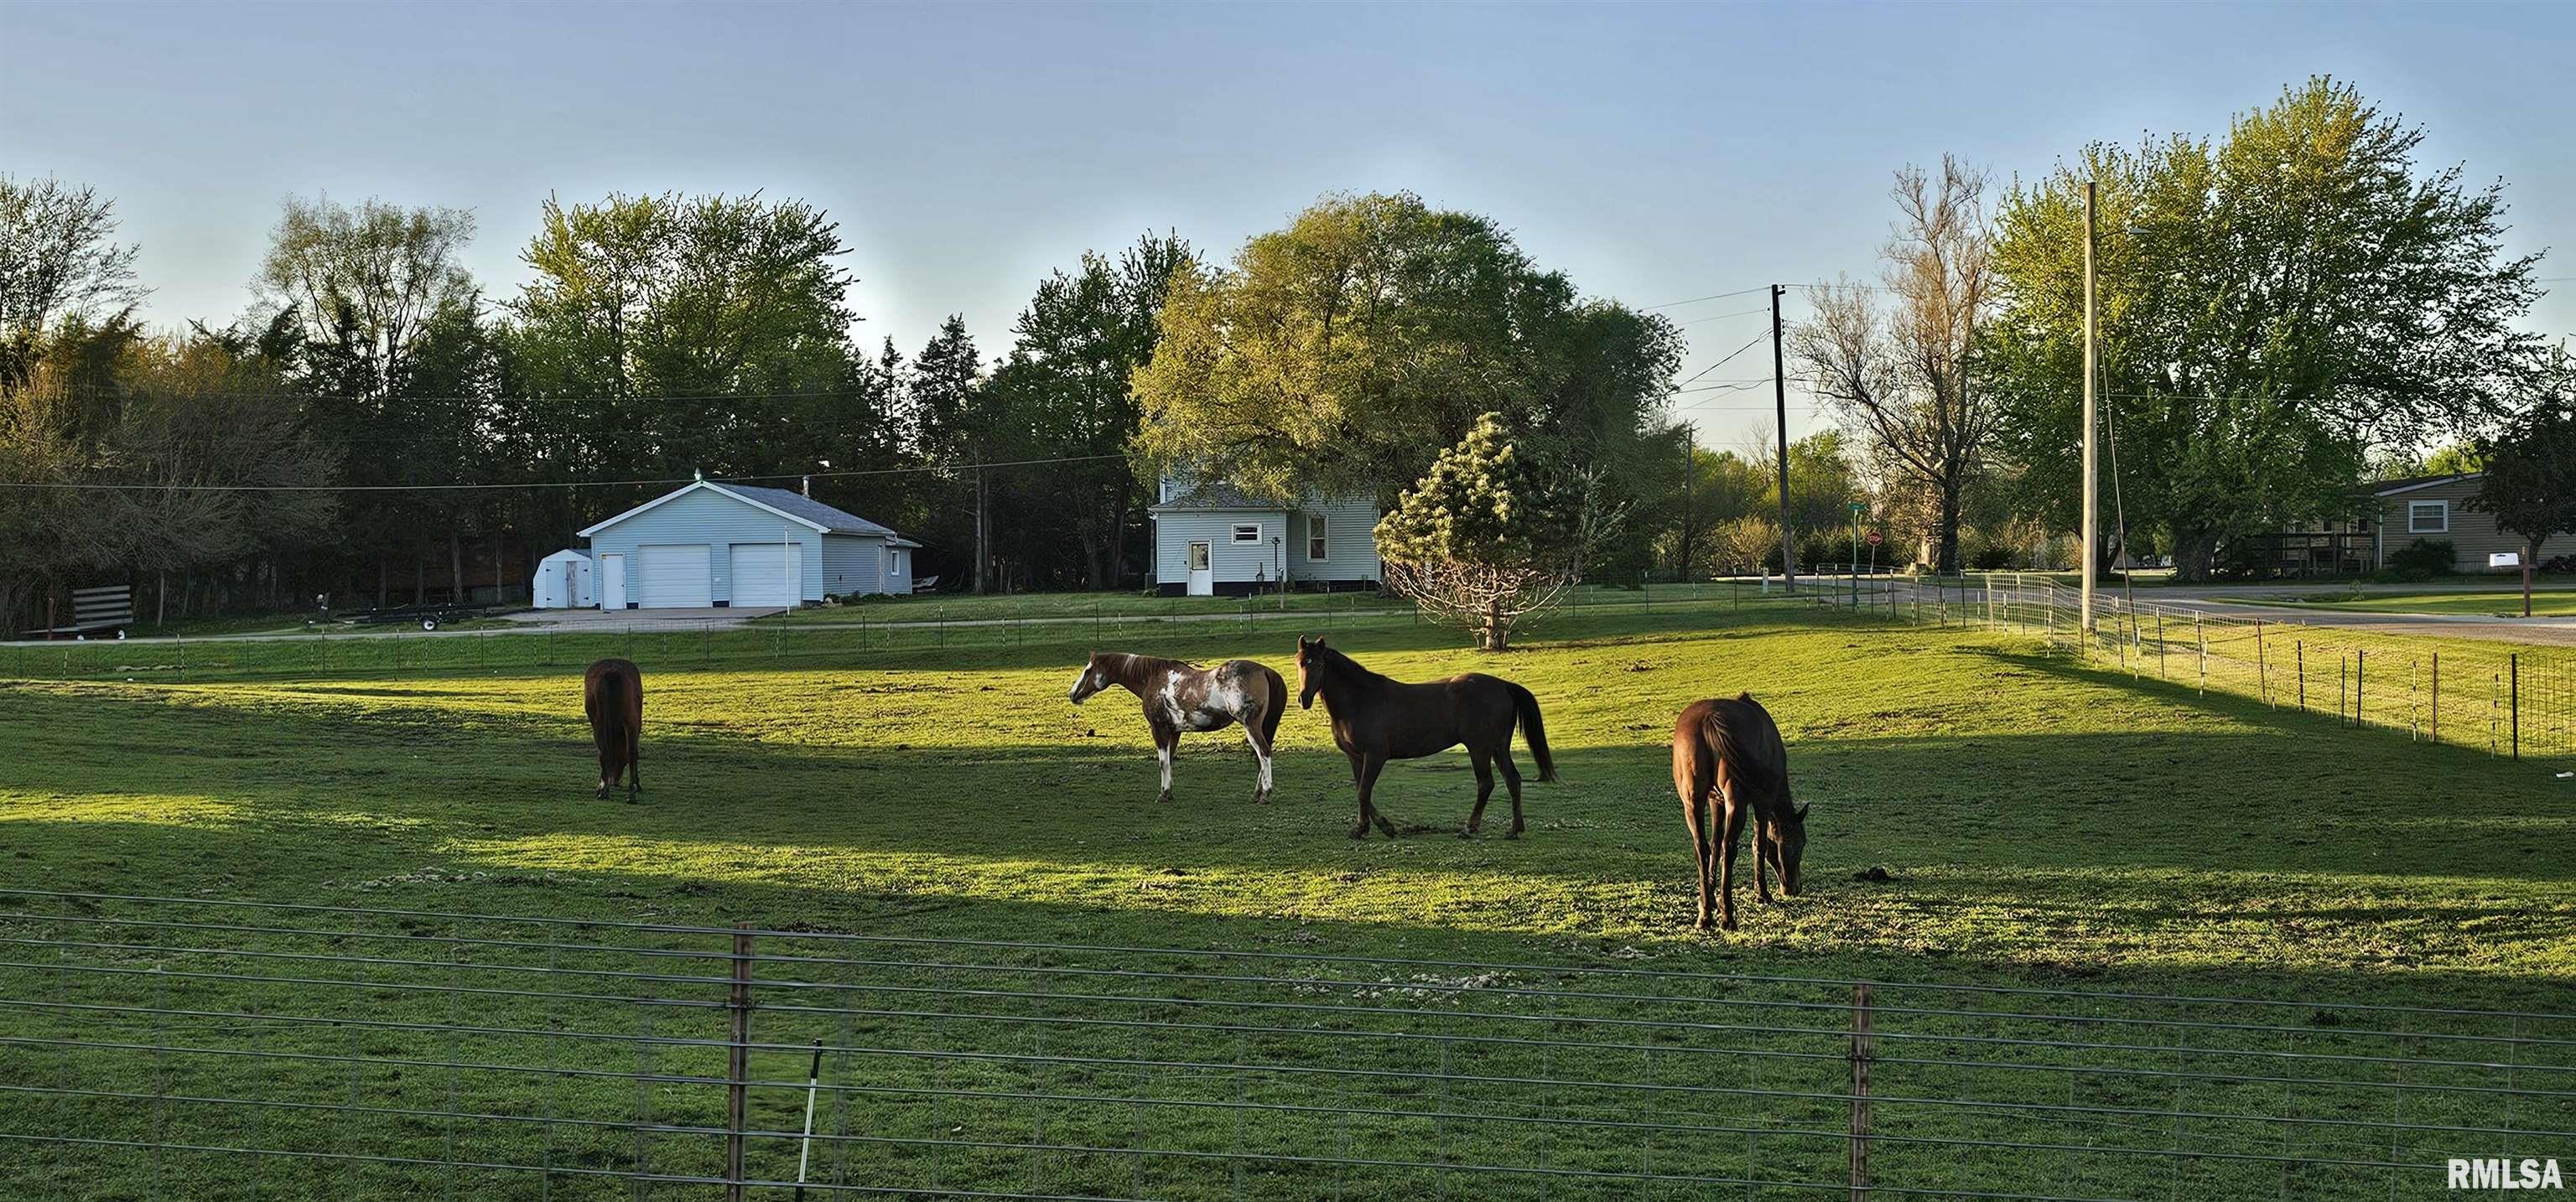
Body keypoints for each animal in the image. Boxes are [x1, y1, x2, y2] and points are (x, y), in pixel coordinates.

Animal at [584, 659, 644, 797]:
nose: (614, 781)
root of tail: (611, 673)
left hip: (599, 725)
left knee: (604, 752)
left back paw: (603, 789)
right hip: (629, 722)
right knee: (631, 752)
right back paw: (630, 790)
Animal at [1066, 653, 1288, 803]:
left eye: (1088, 670)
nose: (1073, 694)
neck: (1152, 678)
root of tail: (1265, 670)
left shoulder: (1159, 729)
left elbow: (1163, 762)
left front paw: (1163, 794)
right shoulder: (1174, 732)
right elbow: (1170, 761)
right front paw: (1169, 792)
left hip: (1252, 727)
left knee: (1264, 753)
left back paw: (1265, 794)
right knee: (1262, 756)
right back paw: (1257, 793)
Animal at [1288, 635, 1545, 844]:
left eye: (1319, 664)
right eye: (1299, 663)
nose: (1303, 699)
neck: (1359, 700)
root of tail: (1503, 686)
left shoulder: (1375, 756)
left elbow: (1363, 792)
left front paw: (1362, 830)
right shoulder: (1355, 757)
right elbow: (1363, 792)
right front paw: (1384, 827)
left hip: (1479, 748)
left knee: (1486, 784)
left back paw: (1469, 828)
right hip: (1498, 747)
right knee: (1513, 780)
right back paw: (1514, 830)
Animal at [1669, 689, 1813, 936]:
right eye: (1798, 844)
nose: (1795, 888)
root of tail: (1708, 720)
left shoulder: (1715, 802)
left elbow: (1714, 844)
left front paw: (1710, 896)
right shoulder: (1762, 802)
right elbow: (1760, 844)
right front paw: (1762, 894)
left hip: (1692, 802)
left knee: (1702, 848)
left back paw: (1704, 916)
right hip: (1736, 802)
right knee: (1730, 848)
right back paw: (1728, 917)